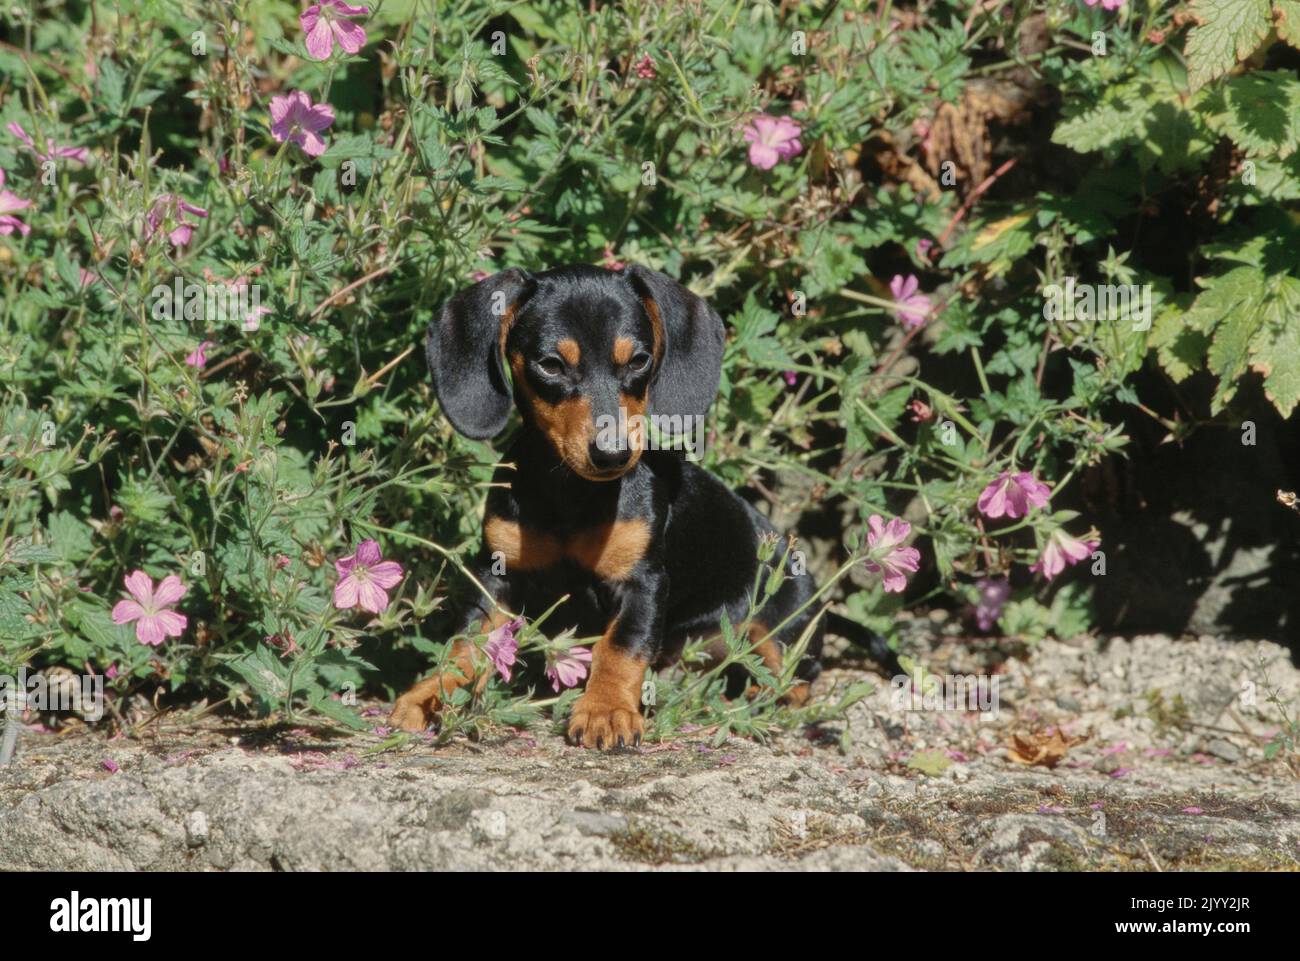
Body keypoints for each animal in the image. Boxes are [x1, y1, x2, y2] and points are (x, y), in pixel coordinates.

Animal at [390, 265, 899, 754]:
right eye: (550, 365)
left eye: (638, 360)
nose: (613, 454)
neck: (572, 496)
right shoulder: (497, 577)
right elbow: (467, 644)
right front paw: (431, 693)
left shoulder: (643, 583)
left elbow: (621, 648)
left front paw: (606, 710)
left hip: (782, 622)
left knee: (796, 678)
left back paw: (752, 699)